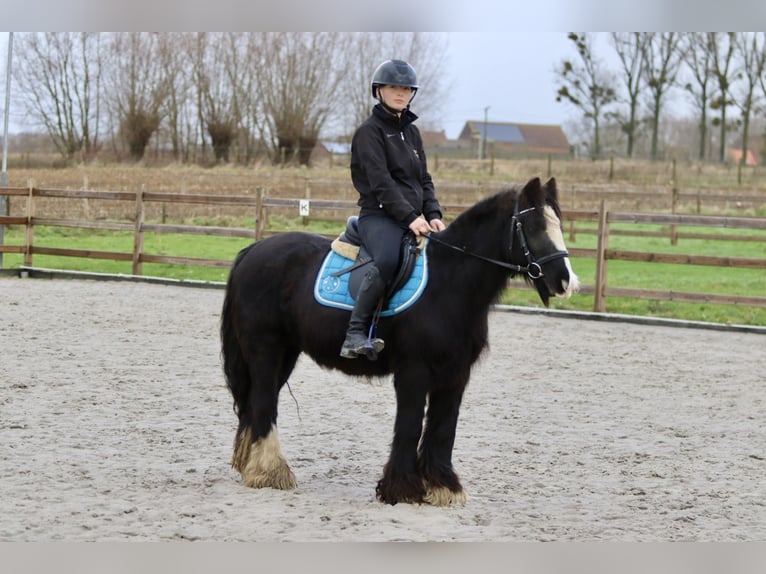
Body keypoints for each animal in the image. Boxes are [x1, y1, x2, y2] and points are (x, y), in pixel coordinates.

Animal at [219, 177, 580, 508]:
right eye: (532, 226)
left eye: (558, 225)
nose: (566, 281)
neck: (449, 283)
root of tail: (252, 250)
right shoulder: (413, 372)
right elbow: (408, 426)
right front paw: (403, 489)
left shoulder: (455, 376)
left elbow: (443, 428)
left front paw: (443, 487)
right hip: (266, 350)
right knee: (264, 403)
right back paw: (270, 472)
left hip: (286, 354)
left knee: (255, 403)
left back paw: (251, 465)